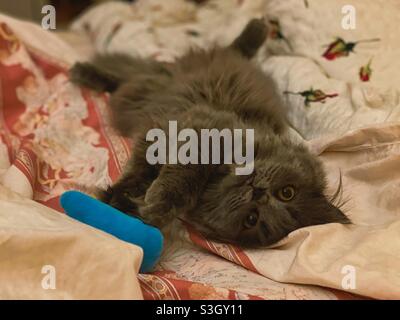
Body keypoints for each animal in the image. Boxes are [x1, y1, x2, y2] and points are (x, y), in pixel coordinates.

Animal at [70, 19, 348, 248]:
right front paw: (155, 201)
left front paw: (131, 203)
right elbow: (178, 174)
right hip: (165, 74)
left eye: (252, 219)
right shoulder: (202, 130)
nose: (259, 192)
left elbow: (145, 175)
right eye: (287, 192)